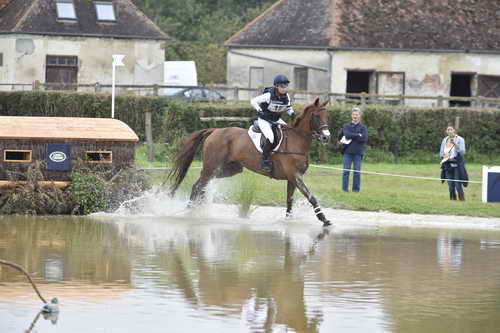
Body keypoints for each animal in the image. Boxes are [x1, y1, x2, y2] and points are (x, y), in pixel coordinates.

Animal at [167, 96, 332, 226]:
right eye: (317, 116)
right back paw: (189, 211)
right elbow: (311, 197)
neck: (296, 141)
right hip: (212, 167)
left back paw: (196, 209)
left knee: (202, 185)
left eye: (327, 116)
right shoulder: (295, 176)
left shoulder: (292, 179)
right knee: (198, 186)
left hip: (228, 169)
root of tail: (215, 131)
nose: (326, 137)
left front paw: (288, 220)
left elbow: (289, 200)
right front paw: (324, 219)